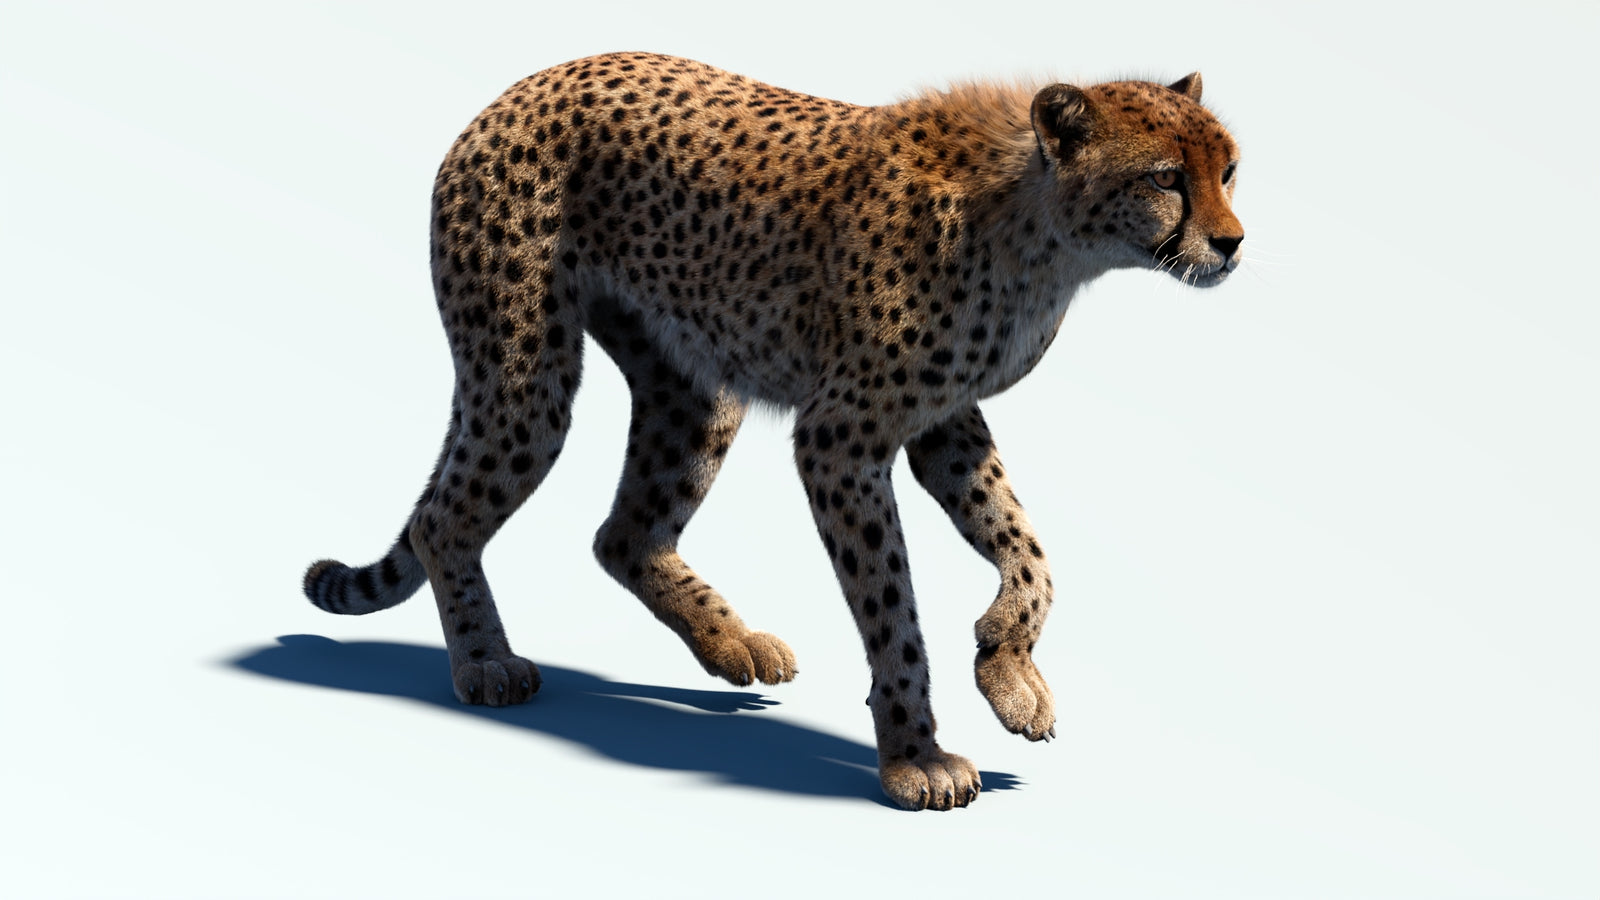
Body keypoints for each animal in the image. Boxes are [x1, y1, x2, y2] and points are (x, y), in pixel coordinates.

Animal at [303, 52, 1244, 811]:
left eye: (1231, 168)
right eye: (1166, 176)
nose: (1232, 242)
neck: (1041, 231)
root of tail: (516, 90)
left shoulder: (944, 421)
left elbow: (1029, 547)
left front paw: (1008, 669)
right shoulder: (842, 437)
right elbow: (892, 606)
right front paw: (917, 755)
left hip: (693, 387)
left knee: (622, 534)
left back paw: (731, 642)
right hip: (527, 375)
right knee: (443, 520)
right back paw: (485, 664)